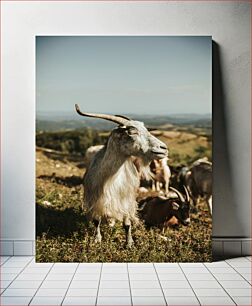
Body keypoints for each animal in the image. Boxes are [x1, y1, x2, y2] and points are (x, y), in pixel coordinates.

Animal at [76, 104, 168, 246]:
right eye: (132, 131)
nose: (163, 148)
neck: (110, 178)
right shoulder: (95, 199)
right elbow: (97, 221)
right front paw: (97, 239)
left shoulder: (126, 200)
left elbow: (127, 224)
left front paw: (129, 243)